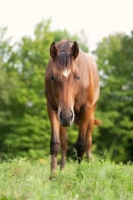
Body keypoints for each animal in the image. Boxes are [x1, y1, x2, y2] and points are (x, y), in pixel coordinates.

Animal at [44, 39, 100, 172]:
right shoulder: (52, 107)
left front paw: (80, 173)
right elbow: (55, 144)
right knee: (64, 142)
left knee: (88, 141)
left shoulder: (86, 109)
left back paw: (89, 164)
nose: (66, 116)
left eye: (78, 77)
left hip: (90, 115)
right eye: (52, 77)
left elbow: (81, 145)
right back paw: (62, 169)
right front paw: (53, 175)